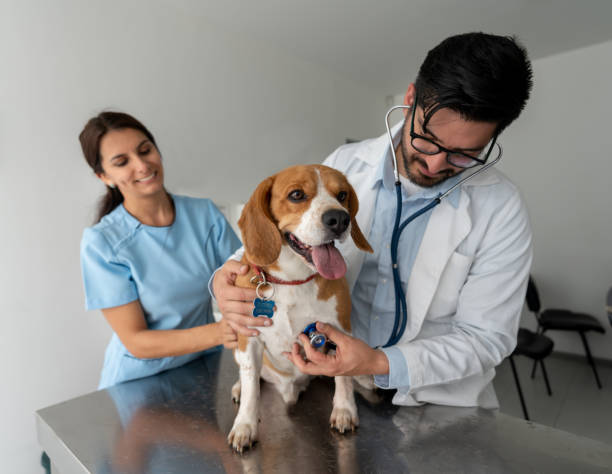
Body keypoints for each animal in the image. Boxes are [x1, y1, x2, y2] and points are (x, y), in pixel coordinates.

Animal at [228, 163, 372, 452]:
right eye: (296, 195)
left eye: (342, 195)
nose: (339, 219)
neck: (293, 279)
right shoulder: (248, 338)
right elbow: (251, 386)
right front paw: (245, 425)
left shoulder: (339, 330)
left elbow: (343, 376)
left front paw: (344, 409)